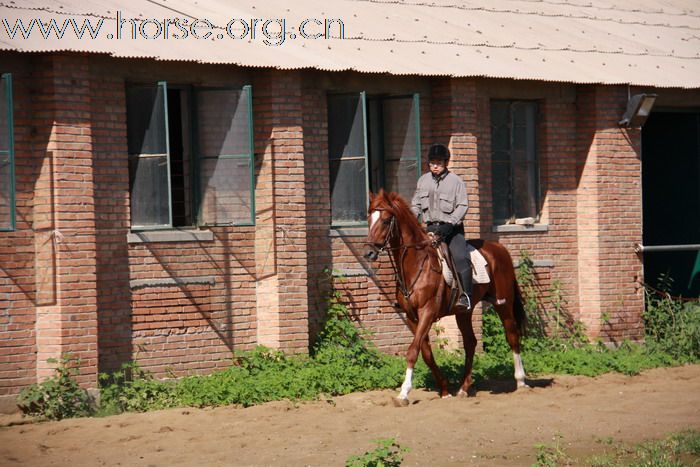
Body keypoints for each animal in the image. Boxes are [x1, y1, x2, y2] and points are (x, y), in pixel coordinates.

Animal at [366, 189, 524, 406]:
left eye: (385, 220)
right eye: (369, 218)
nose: (369, 252)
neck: (417, 264)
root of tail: (500, 250)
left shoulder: (427, 312)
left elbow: (412, 351)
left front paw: (404, 393)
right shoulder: (411, 317)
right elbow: (425, 353)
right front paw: (444, 390)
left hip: (504, 304)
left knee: (512, 335)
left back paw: (521, 381)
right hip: (464, 312)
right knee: (470, 342)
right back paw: (464, 388)